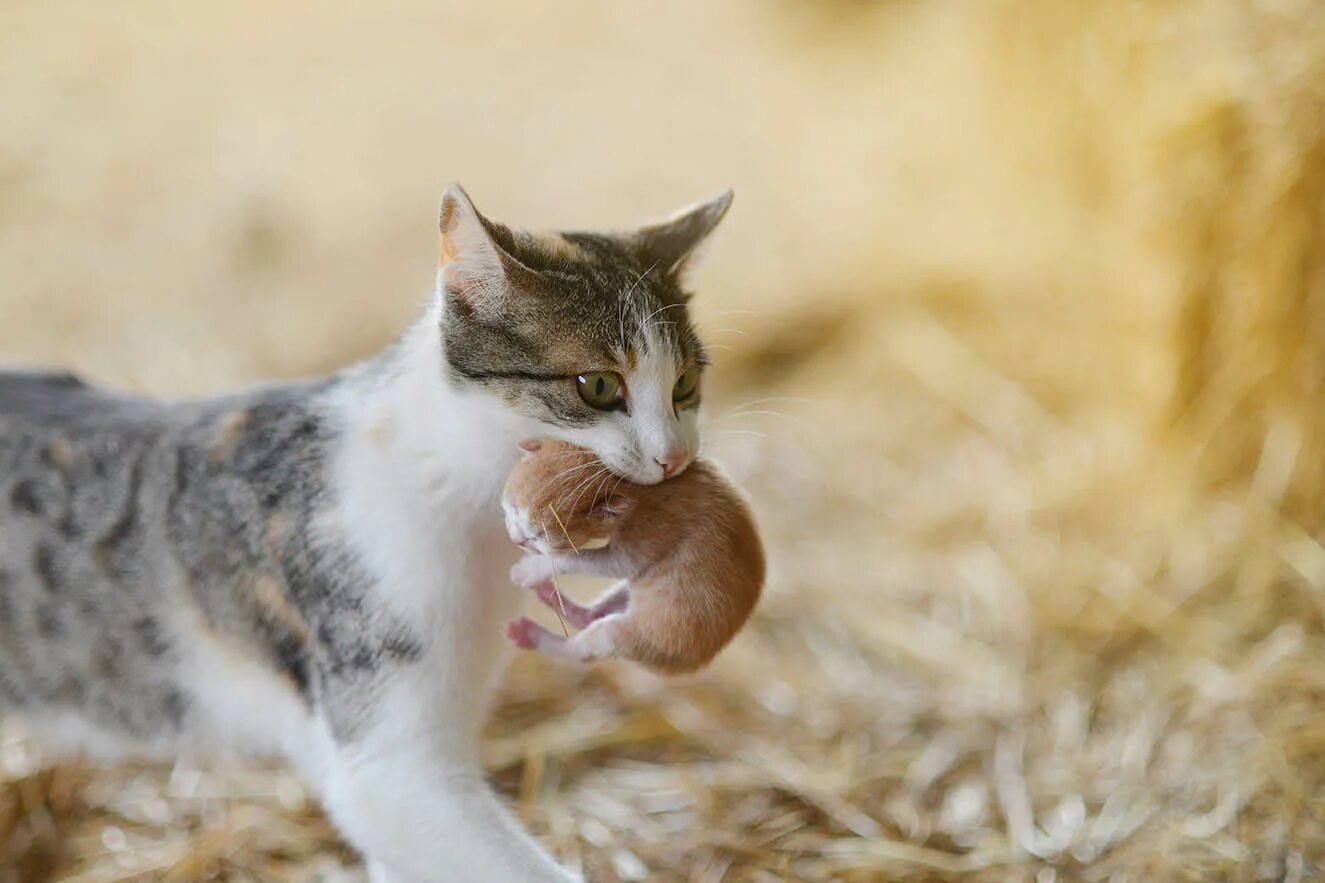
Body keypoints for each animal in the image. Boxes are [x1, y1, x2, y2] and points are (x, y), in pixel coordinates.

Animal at [498, 437, 768, 670]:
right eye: (513, 507)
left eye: (538, 536)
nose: (515, 539)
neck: (638, 487)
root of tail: (693, 664)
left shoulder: (655, 527)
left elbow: (603, 561)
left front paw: (530, 569)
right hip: (633, 592)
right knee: (594, 614)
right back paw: (552, 597)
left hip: (637, 635)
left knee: (584, 647)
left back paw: (530, 635)